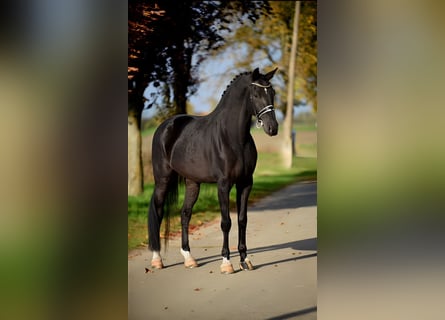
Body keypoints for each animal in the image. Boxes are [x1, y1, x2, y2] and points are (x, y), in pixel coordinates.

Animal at [147, 67, 278, 272]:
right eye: (256, 94)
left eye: (272, 93)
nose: (273, 128)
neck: (233, 138)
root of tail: (165, 126)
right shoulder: (223, 185)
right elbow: (226, 222)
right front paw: (226, 263)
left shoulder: (245, 183)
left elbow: (242, 220)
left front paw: (245, 260)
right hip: (162, 180)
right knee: (158, 212)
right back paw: (157, 260)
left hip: (192, 182)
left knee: (185, 214)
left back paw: (189, 258)